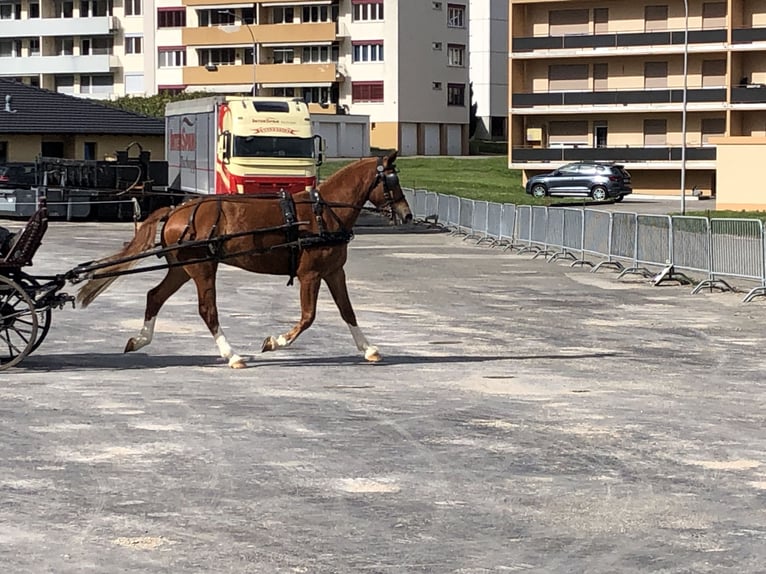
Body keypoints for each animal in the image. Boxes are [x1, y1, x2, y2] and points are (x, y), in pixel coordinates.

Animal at [76, 153, 414, 368]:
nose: (408, 215)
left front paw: (369, 349)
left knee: (154, 296)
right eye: (391, 181)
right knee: (207, 310)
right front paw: (275, 341)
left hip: (182, 269)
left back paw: (140, 340)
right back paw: (232, 355)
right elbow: (308, 317)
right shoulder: (311, 274)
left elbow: (347, 311)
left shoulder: (333, 272)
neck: (323, 212)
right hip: (202, 268)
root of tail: (175, 210)